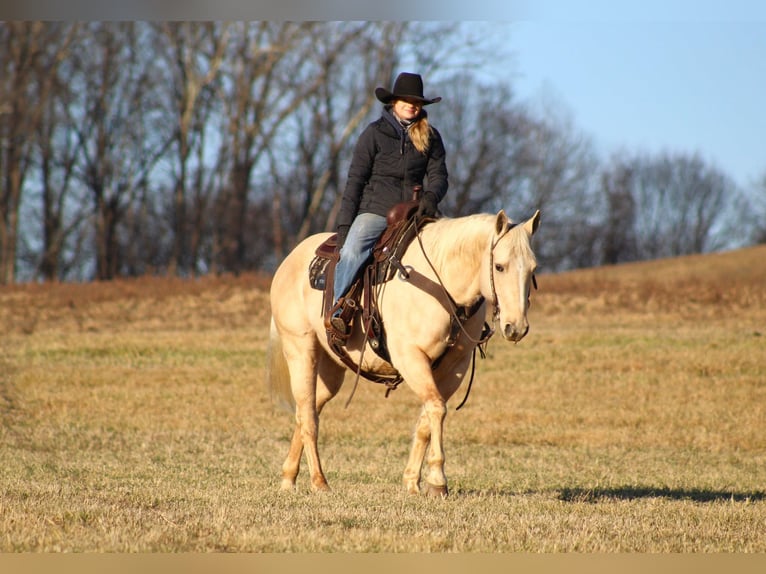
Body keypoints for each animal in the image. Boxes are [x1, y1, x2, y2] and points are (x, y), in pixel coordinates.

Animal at [268, 209, 540, 498]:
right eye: (499, 266)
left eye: (533, 269)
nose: (516, 327)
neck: (442, 283)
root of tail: (288, 261)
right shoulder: (411, 358)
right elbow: (436, 408)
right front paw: (437, 480)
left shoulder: (454, 367)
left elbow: (426, 418)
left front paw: (413, 481)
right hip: (300, 350)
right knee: (308, 416)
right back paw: (319, 481)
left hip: (332, 368)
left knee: (307, 410)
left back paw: (289, 477)